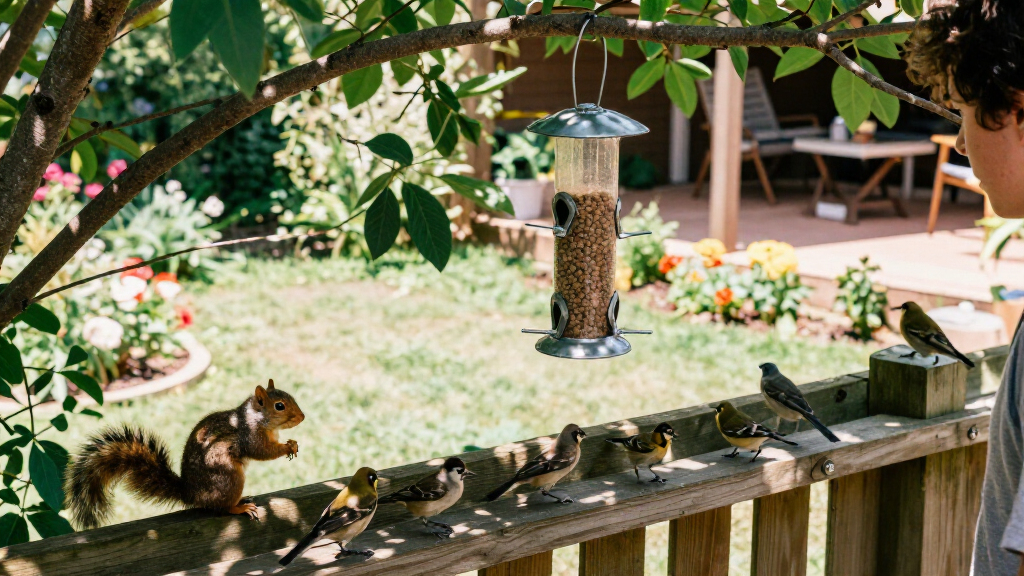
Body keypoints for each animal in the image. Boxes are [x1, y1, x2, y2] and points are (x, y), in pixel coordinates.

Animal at [64, 379, 305, 529]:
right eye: (280, 406)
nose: (302, 417)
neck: (256, 418)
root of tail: (191, 493)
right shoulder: (250, 436)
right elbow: (261, 452)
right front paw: (286, 447)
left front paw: (292, 443)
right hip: (228, 477)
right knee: (222, 508)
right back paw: (240, 507)